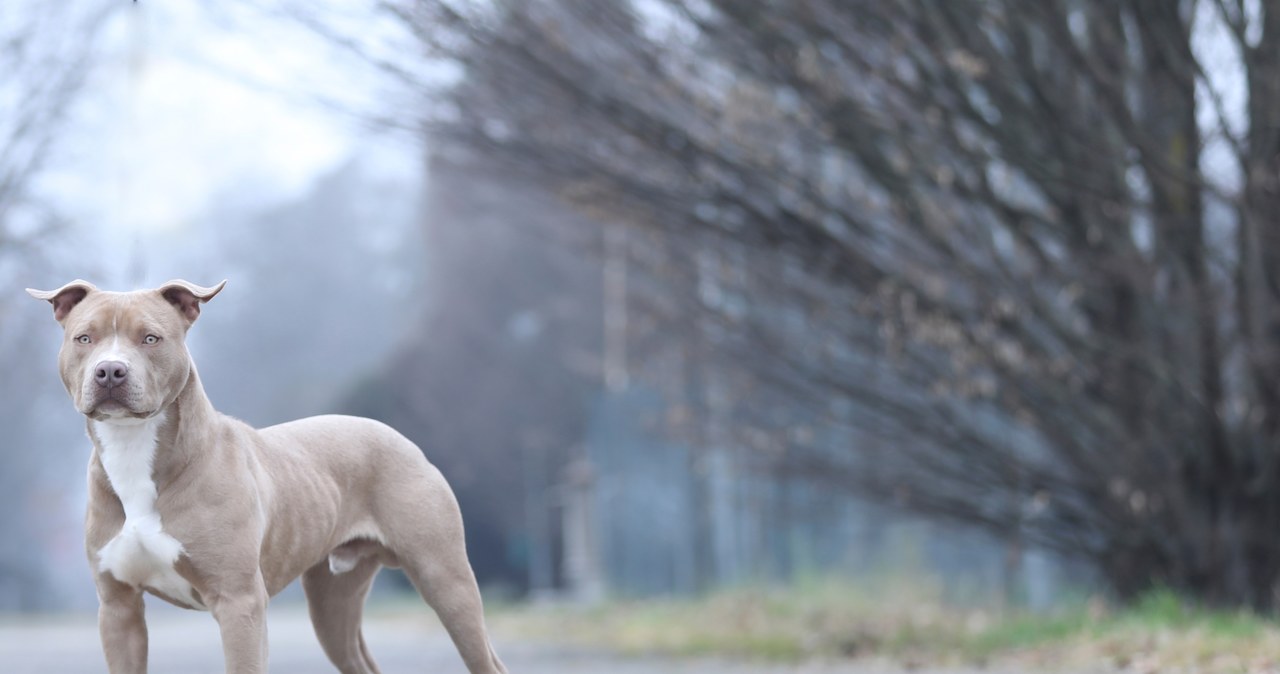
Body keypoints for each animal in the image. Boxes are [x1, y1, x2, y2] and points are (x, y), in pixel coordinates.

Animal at [24, 280, 504, 674]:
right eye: (84, 338)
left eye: (151, 338)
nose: (110, 370)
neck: (134, 450)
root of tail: (399, 437)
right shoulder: (118, 609)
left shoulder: (239, 604)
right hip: (333, 600)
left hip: (445, 577)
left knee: (484, 656)